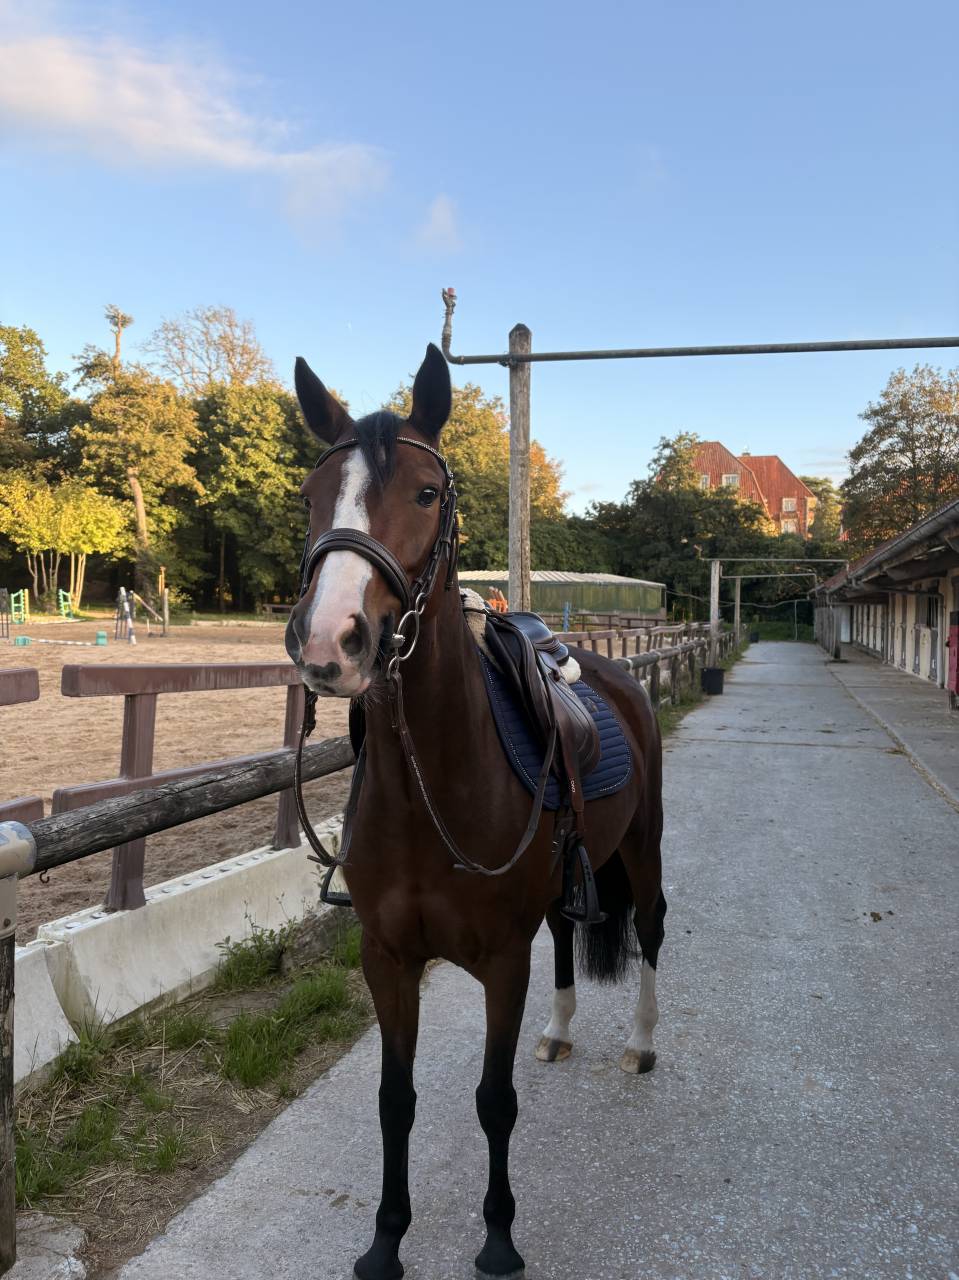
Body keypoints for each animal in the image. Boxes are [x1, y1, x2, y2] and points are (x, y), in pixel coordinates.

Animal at [285, 343, 666, 1280]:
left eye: (426, 493)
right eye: (311, 496)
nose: (329, 643)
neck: (434, 786)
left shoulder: (501, 961)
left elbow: (494, 1100)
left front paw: (497, 1236)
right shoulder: (387, 958)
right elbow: (395, 1099)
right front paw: (385, 1240)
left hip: (643, 848)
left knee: (649, 928)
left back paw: (641, 1044)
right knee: (569, 930)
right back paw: (560, 1031)